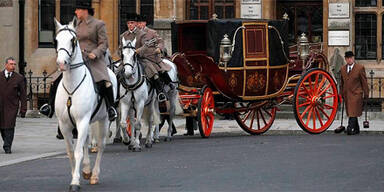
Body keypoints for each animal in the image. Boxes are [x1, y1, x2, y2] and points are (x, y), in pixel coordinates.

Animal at [53, 17, 117, 190]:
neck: (71, 85)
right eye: (56, 40)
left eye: (73, 40)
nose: (61, 63)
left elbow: (78, 152)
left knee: (101, 145)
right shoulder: (65, 124)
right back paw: (87, 170)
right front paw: (76, 175)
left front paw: (75, 181)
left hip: (104, 119)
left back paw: (94, 175)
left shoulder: (82, 120)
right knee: (86, 141)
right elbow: (71, 151)